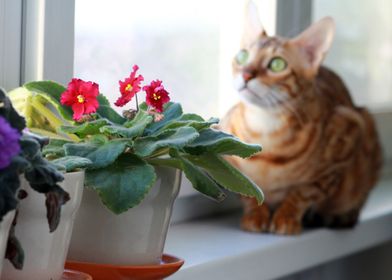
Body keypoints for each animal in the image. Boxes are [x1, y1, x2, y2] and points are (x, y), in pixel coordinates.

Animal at [219, 2, 382, 234]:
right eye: (242, 56)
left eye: (277, 64)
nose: (246, 74)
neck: (264, 131)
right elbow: (246, 190)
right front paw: (255, 214)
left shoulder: (346, 136)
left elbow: (303, 193)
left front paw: (286, 217)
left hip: (366, 126)